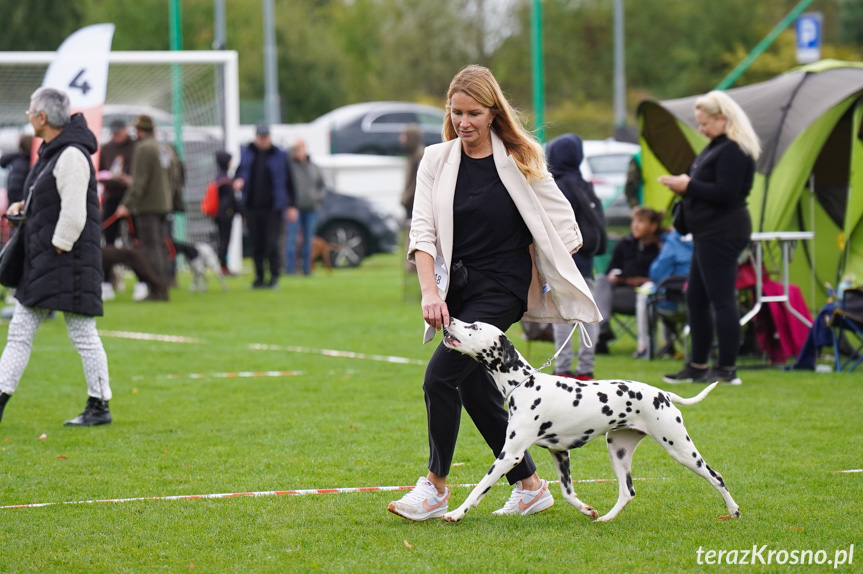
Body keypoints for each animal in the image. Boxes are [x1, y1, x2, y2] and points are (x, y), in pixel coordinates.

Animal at [438, 320, 744, 528]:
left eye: (474, 326)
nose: (450, 318)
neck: (524, 384)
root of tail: (662, 393)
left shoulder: (509, 455)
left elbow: (478, 488)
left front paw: (454, 513)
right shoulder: (560, 452)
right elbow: (567, 492)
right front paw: (587, 510)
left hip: (681, 449)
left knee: (716, 476)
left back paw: (733, 511)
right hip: (618, 450)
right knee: (627, 491)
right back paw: (606, 518)